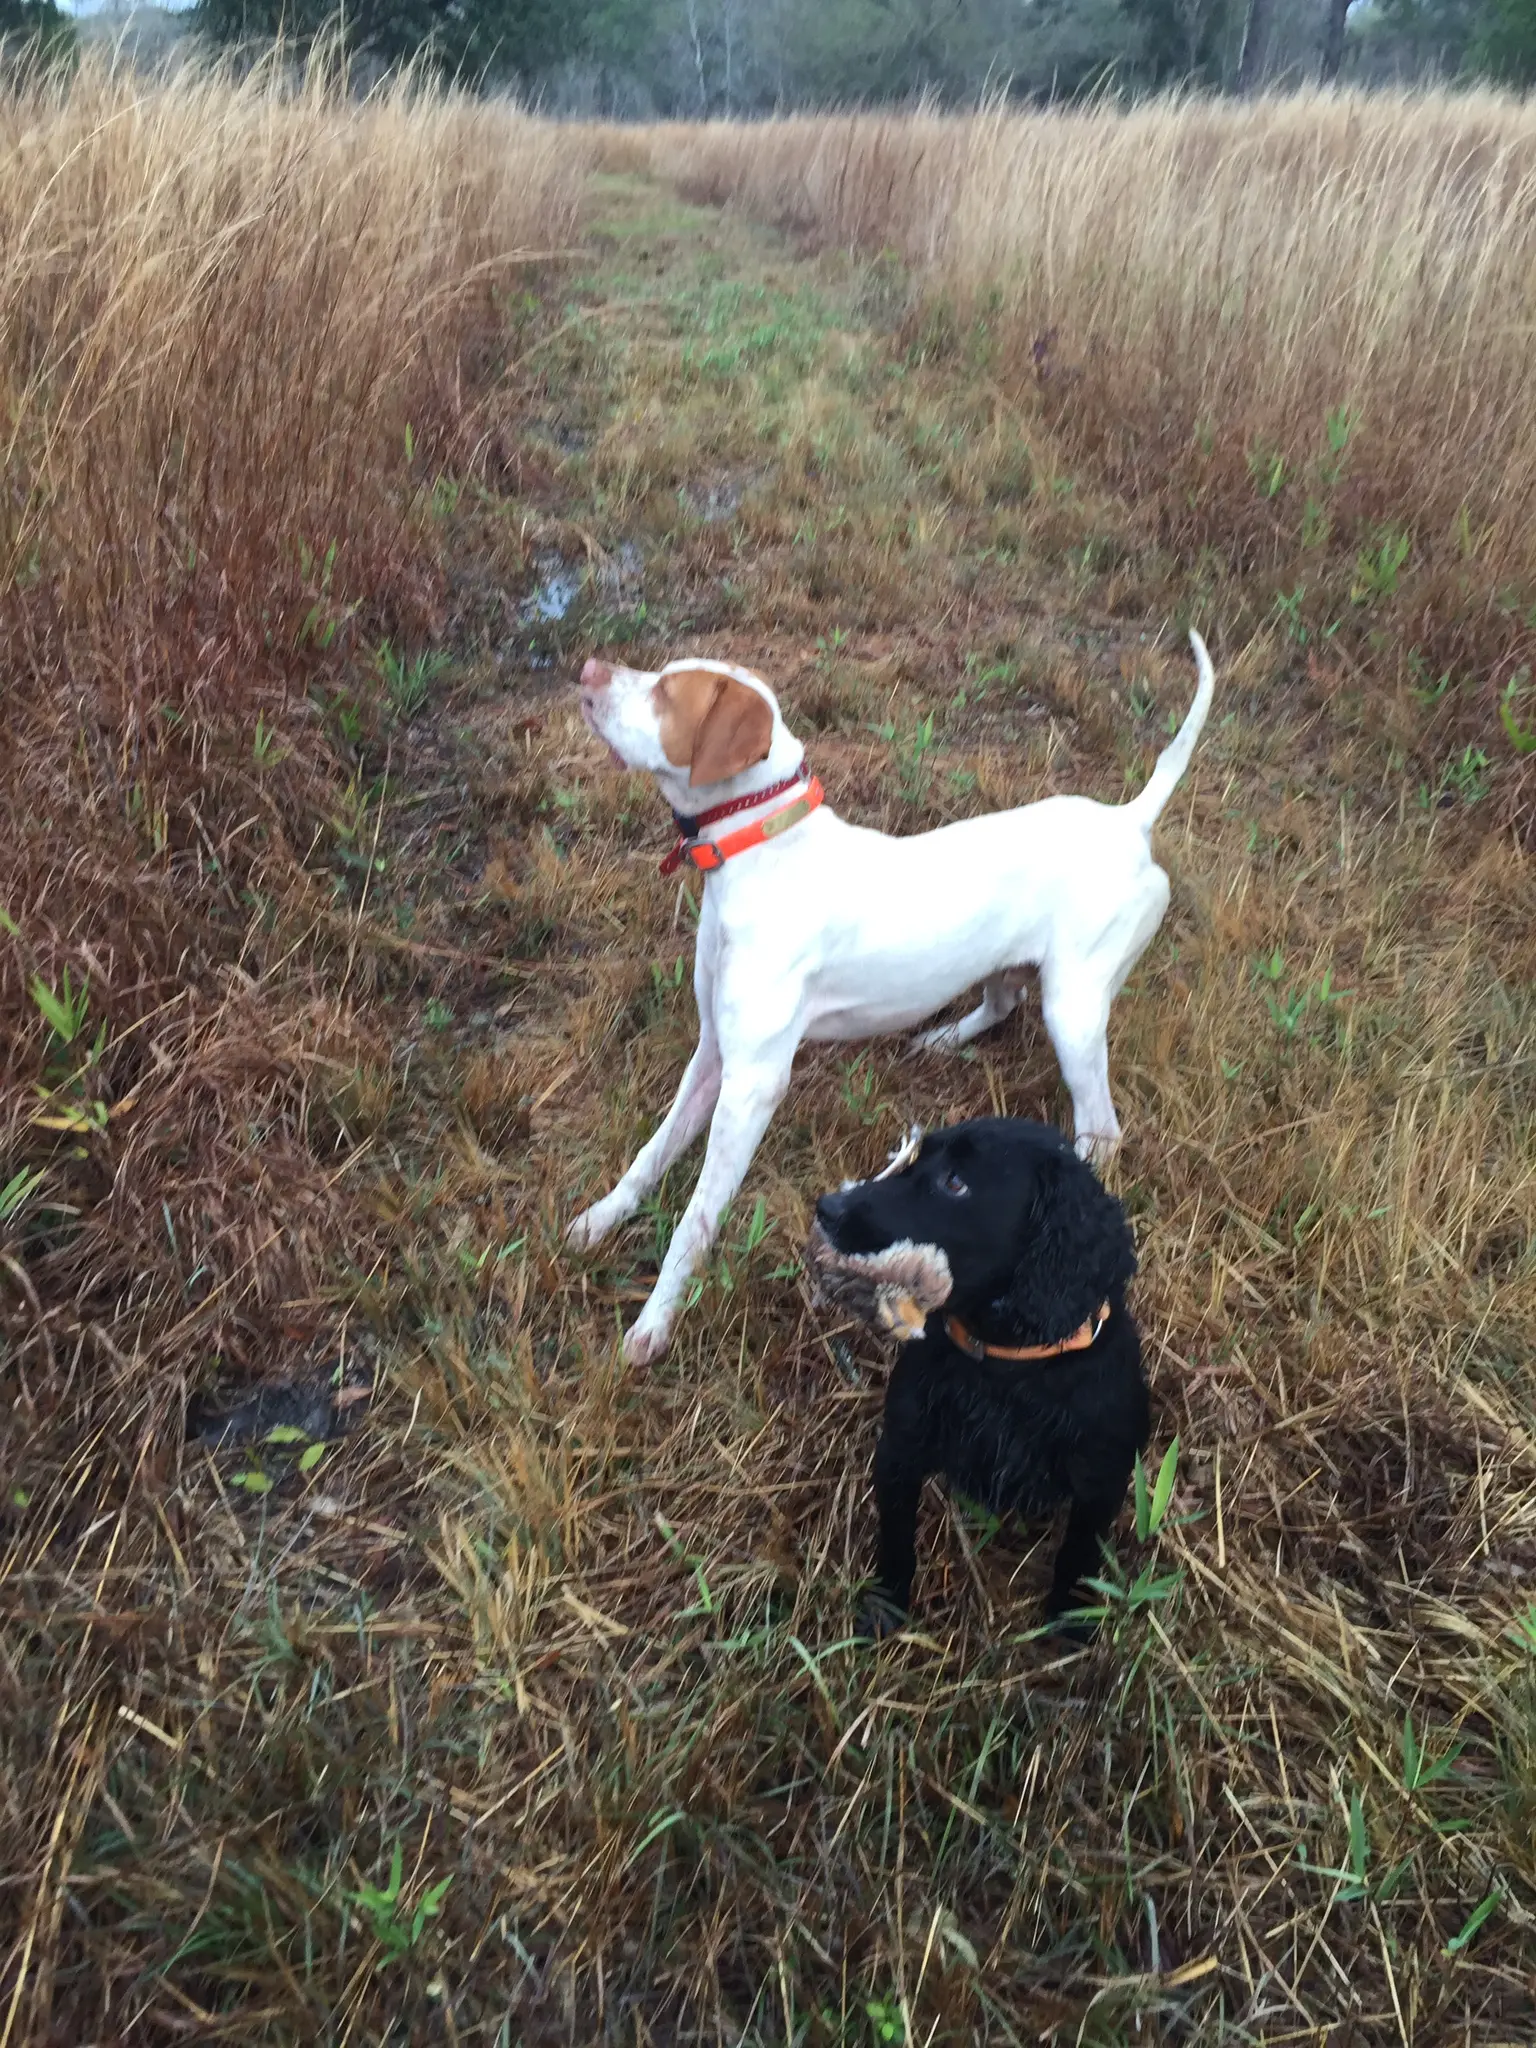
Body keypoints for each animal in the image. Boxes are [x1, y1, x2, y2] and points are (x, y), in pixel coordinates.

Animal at [570, 633, 1213, 1364]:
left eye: (667, 693)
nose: (588, 669)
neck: (763, 851)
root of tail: (1128, 821)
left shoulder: (752, 1083)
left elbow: (695, 1218)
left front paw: (656, 1318)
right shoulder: (711, 1056)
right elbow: (649, 1156)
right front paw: (601, 1218)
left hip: (1073, 1011)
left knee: (1101, 1129)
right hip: (1010, 968)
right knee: (1000, 1006)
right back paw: (940, 1039)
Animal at [811, 1117, 1149, 1636]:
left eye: (955, 1182)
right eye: (915, 1159)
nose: (828, 1207)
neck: (1003, 1366)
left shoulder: (1101, 1480)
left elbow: (1078, 1555)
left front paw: (1070, 1622)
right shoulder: (898, 1452)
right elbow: (895, 1539)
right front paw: (886, 1606)